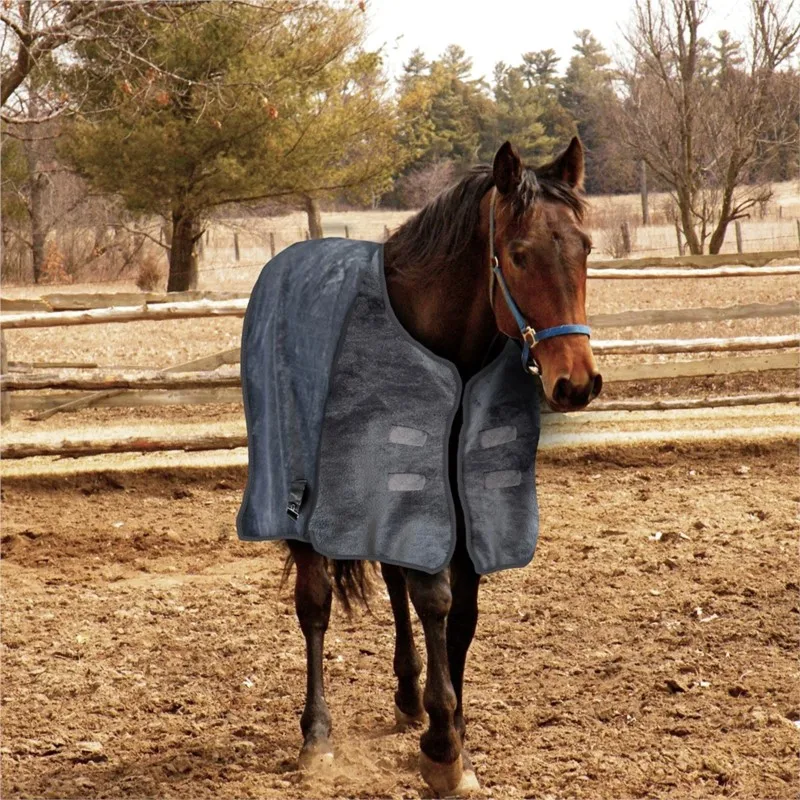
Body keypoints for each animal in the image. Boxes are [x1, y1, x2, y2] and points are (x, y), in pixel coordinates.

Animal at [283, 138, 601, 796]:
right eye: (519, 255)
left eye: (585, 247)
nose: (577, 382)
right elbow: (434, 598)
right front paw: (443, 745)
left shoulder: (461, 504)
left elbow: (462, 613)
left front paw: (455, 735)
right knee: (315, 602)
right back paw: (318, 735)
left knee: (391, 580)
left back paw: (406, 697)